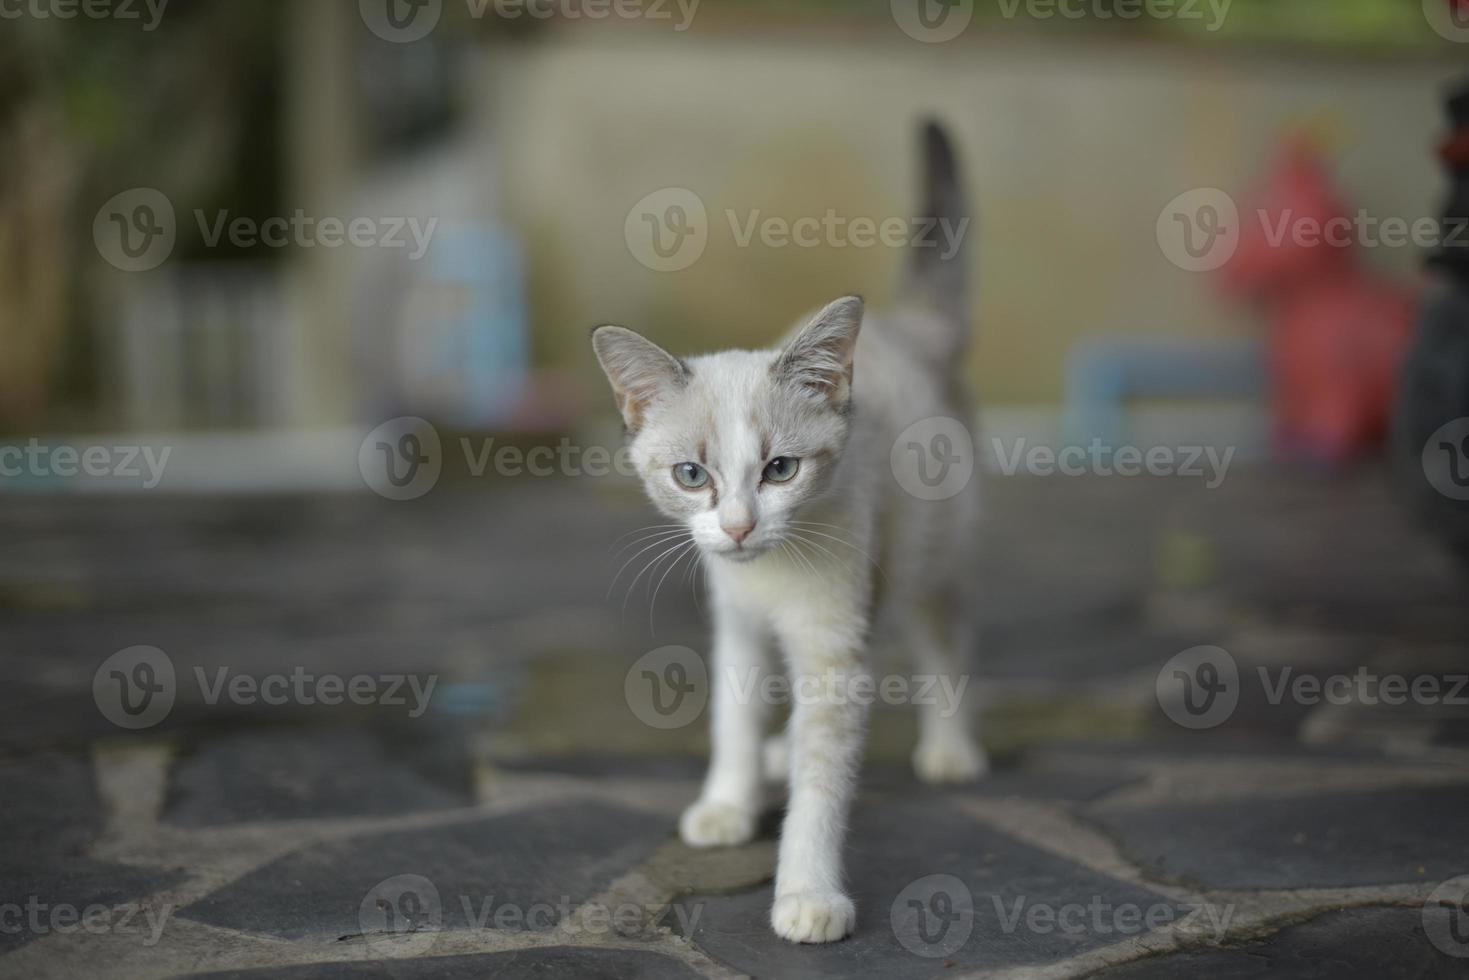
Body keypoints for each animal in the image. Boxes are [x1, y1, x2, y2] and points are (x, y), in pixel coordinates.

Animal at [587, 120, 987, 940]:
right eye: (691, 475)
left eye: (779, 470)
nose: (740, 526)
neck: (768, 577)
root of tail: (910, 328)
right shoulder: (736, 619)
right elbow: (732, 717)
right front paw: (728, 801)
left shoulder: (833, 641)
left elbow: (824, 779)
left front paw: (806, 892)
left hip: (938, 546)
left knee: (942, 635)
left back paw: (950, 748)